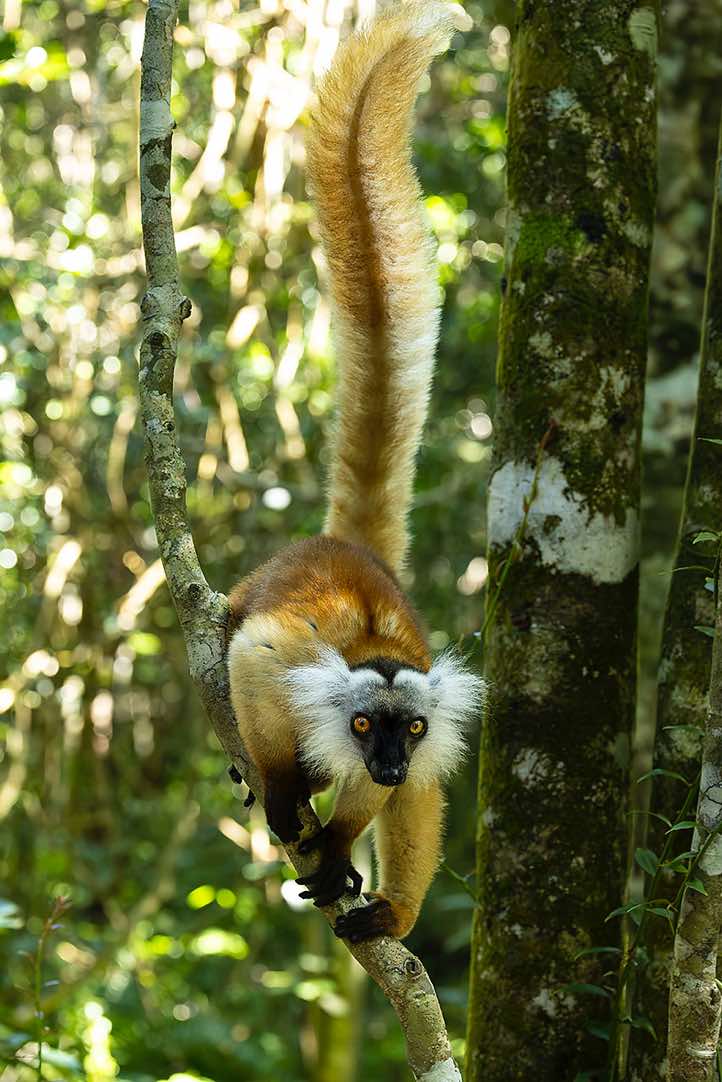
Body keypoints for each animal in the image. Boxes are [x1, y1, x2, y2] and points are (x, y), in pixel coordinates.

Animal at [227, 0, 483, 943]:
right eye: (366, 722)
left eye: (407, 730)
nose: (385, 760)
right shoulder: (292, 659)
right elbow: (253, 658)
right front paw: (282, 790)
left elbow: (406, 798)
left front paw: (340, 845)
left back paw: (394, 911)